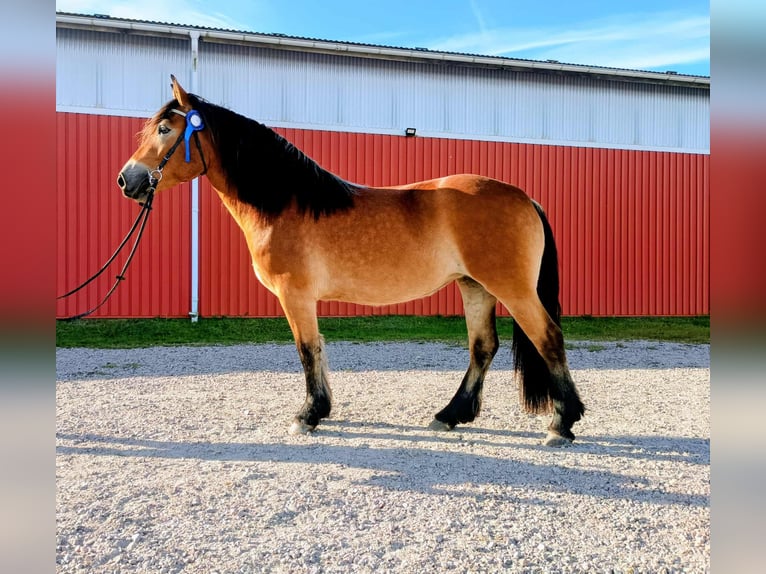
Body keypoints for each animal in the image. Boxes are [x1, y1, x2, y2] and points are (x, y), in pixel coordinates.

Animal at [117, 76, 585, 446]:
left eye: (165, 128)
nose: (127, 180)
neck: (285, 203)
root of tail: (524, 197)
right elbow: (318, 349)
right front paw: (319, 409)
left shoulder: (296, 296)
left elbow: (307, 350)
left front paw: (308, 415)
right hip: (476, 287)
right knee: (483, 347)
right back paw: (450, 415)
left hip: (512, 288)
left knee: (548, 339)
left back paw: (561, 424)